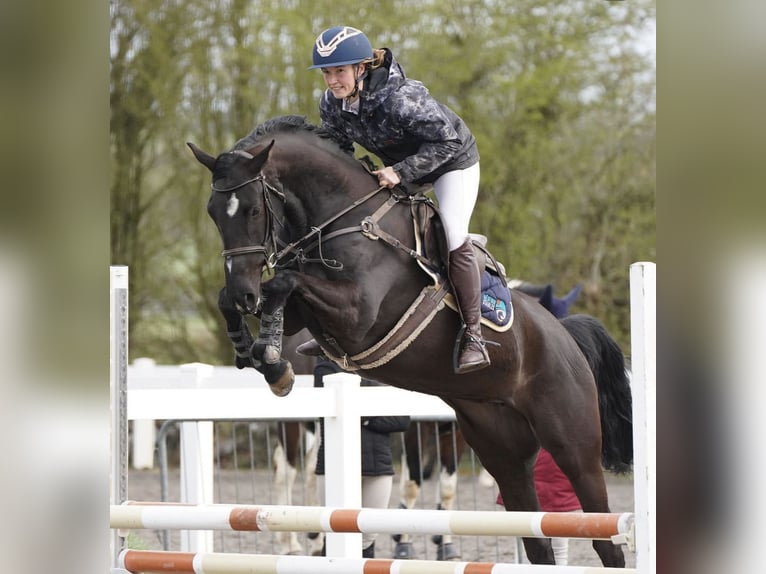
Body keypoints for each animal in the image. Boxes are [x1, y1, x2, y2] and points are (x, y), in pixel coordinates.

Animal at [189, 116, 632, 568]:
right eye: (213, 213)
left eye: (253, 209)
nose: (244, 292)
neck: (348, 219)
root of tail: (565, 337)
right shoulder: (306, 313)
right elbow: (263, 293)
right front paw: (257, 352)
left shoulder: (357, 314)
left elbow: (282, 282)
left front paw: (271, 358)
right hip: (503, 452)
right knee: (537, 539)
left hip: (573, 446)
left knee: (604, 538)